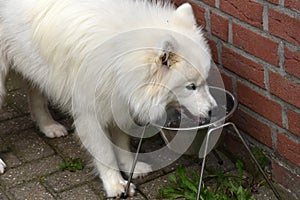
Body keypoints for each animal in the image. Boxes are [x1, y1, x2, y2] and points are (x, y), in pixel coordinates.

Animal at [0, 0, 216, 197]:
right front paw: (115, 185)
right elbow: (105, 154)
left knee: (36, 97)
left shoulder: (118, 104)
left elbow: (122, 145)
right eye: (191, 86)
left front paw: (130, 168)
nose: (212, 110)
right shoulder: (90, 114)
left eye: (205, 80)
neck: (120, 61)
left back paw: (48, 126)